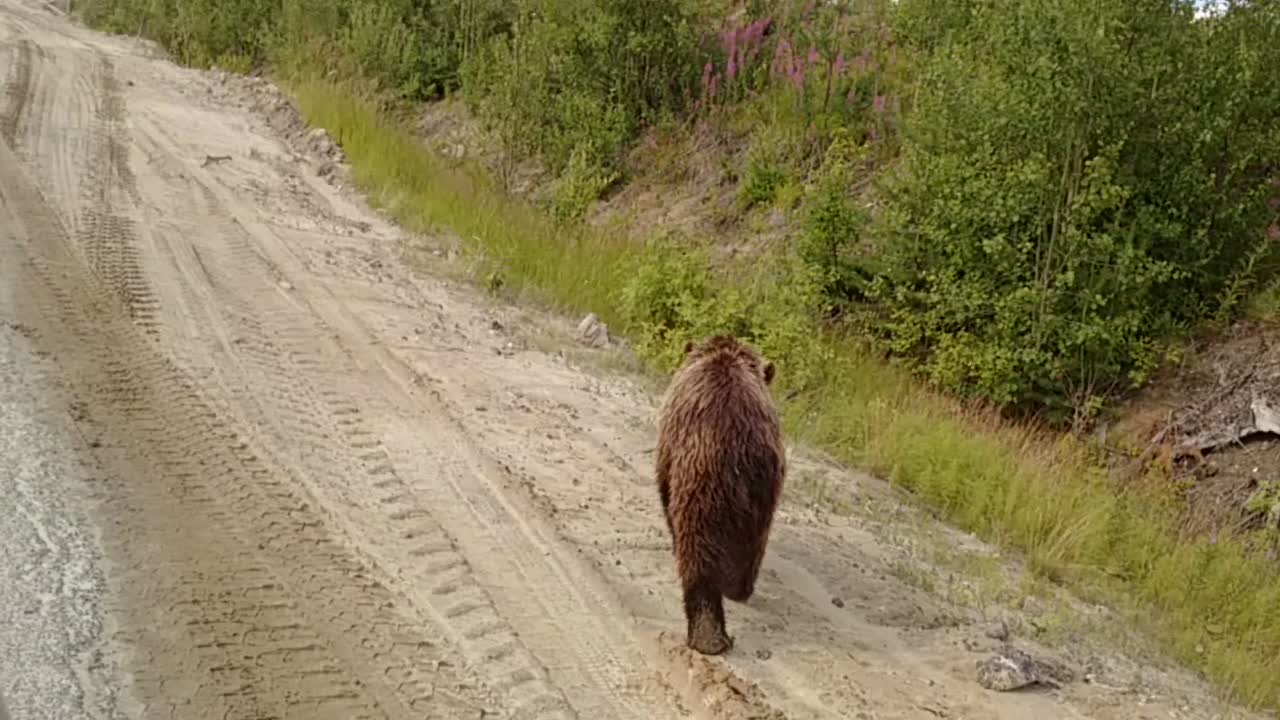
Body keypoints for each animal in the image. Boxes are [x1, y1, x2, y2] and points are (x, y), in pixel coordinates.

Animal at [655, 333, 783, 653]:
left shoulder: (668, 449)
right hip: (763, 490)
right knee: (754, 545)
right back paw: (739, 592)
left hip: (698, 478)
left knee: (696, 550)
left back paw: (707, 634)